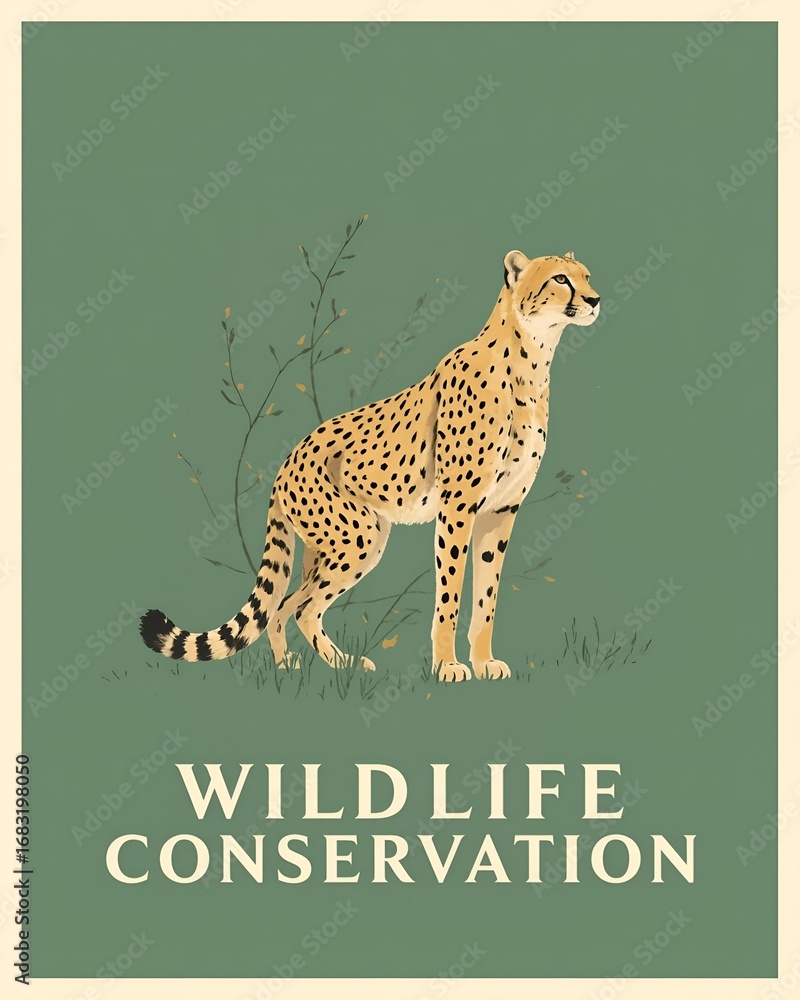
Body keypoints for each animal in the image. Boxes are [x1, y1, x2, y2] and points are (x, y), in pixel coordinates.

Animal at [140, 249, 600, 682]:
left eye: (587, 276)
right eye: (560, 279)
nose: (595, 299)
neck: (530, 359)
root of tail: (290, 456)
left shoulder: (500, 509)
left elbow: (487, 597)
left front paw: (484, 662)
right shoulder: (458, 507)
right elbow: (449, 595)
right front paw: (447, 666)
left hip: (333, 545)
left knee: (286, 605)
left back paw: (299, 664)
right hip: (358, 536)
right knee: (300, 607)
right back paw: (320, 664)